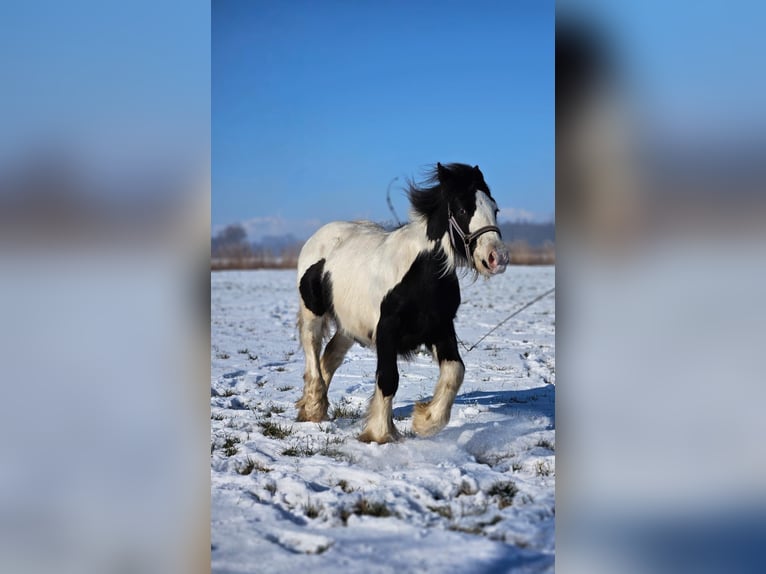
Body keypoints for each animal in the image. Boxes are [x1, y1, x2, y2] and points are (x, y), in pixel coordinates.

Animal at [294, 162, 510, 446]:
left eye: (495, 209)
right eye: (463, 210)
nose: (498, 258)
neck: (421, 274)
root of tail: (319, 237)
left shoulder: (440, 328)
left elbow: (455, 371)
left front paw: (425, 421)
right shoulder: (387, 331)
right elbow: (388, 379)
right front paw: (380, 433)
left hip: (349, 325)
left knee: (330, 356)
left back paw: (316, 408)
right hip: (313, 313)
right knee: (312, 350)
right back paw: (313, 408)